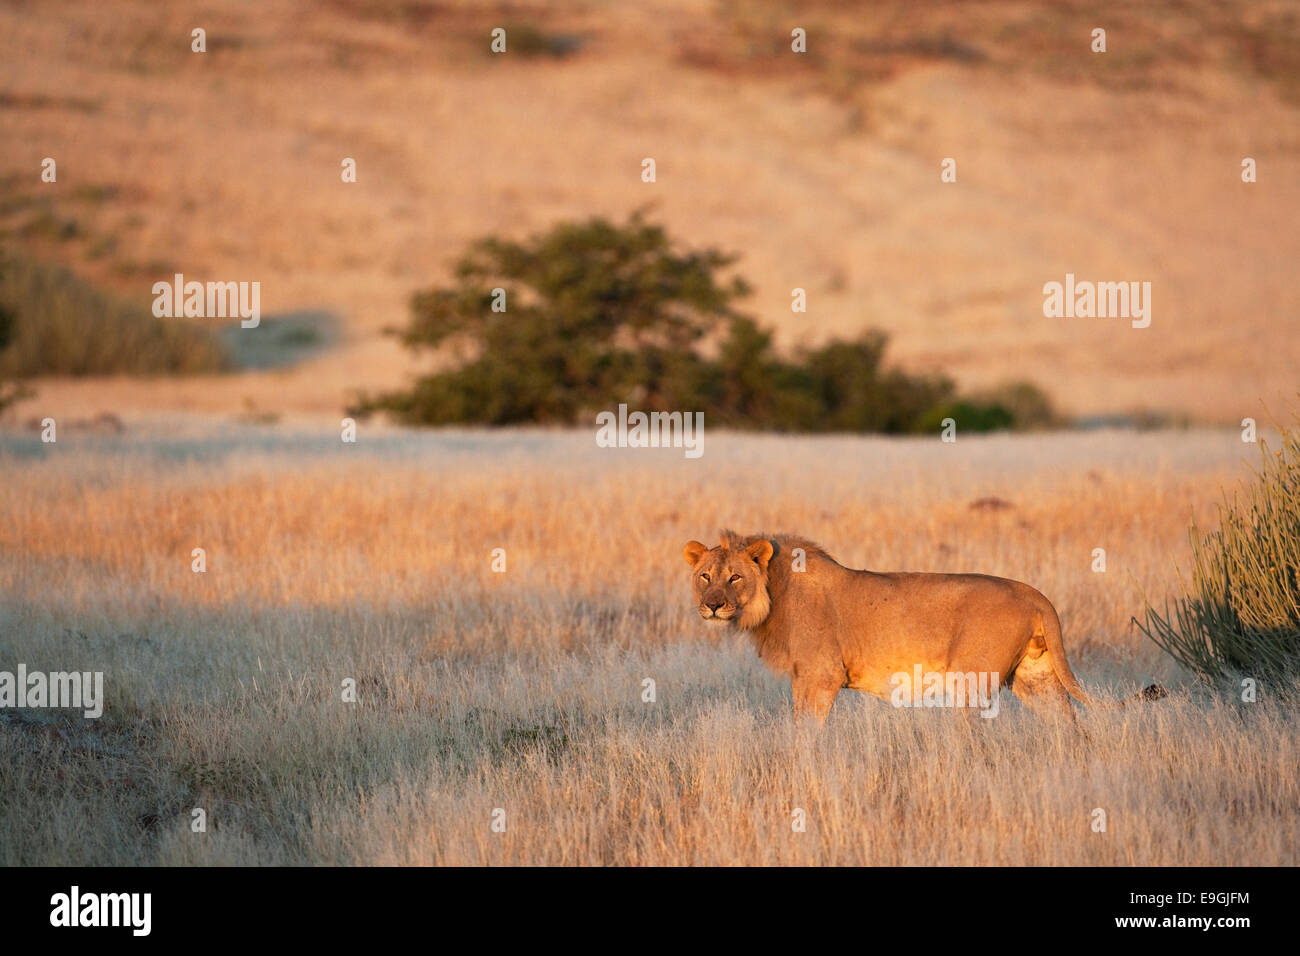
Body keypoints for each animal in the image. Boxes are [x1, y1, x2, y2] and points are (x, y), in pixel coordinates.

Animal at [686, 530, 1164, 723]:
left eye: (735, 578)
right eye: (705, 576)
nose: (712, 607)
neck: (774, 592)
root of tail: (1035, 594)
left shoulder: (820, 677)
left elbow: (806, 730)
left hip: (972, 679)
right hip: (1035, 676)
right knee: (1068, 724)